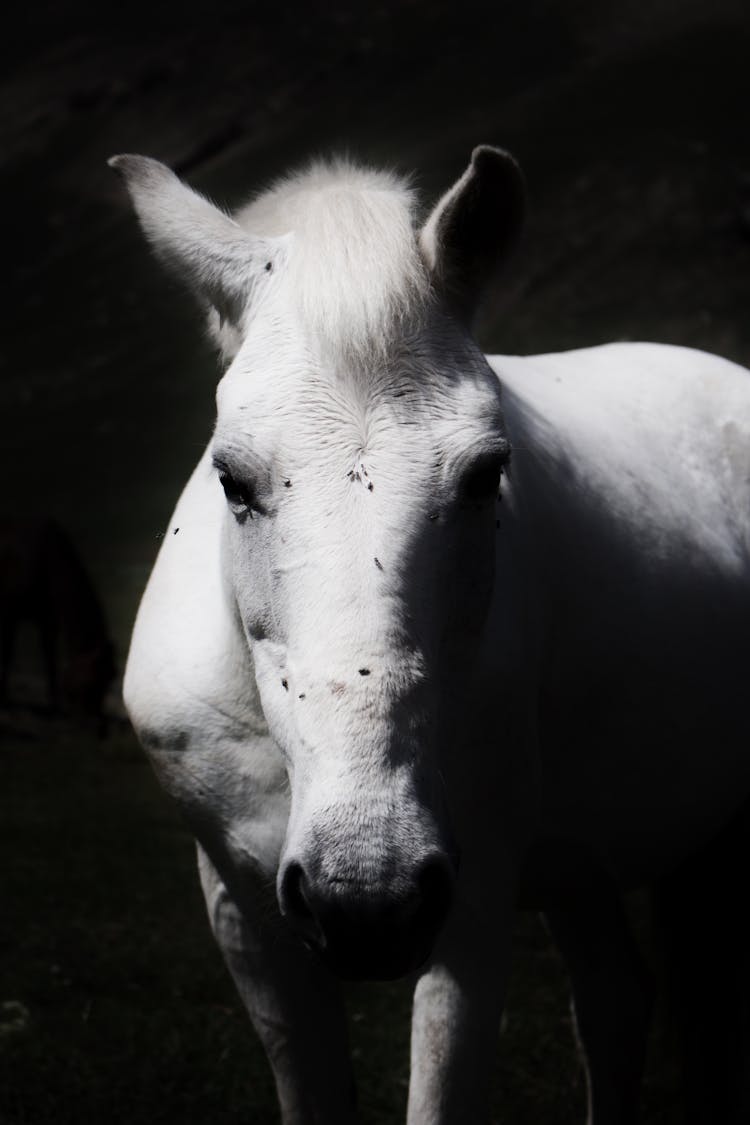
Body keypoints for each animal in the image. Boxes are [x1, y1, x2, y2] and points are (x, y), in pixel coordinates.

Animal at [0, 517, 115, 729]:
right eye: (93, 679)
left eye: (112, 677)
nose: (100, 725)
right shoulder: (10, 613)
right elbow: (10, 656)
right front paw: (6, 704)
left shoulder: (47, 617)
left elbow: (50, 660)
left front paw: (54, 708)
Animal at [114, 147, 750, 1116]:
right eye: (232, 478)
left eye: (488, 474)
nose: (364, 895)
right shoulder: (245, 917)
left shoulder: (471, 909)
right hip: (582, 865)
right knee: (615, 1002)